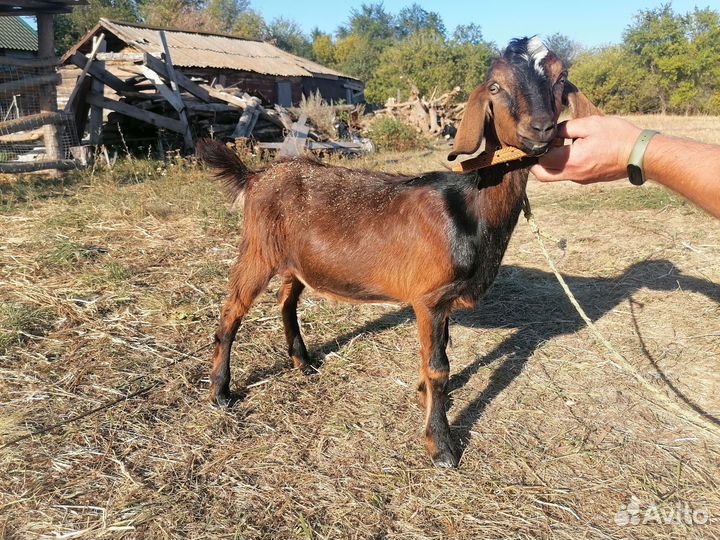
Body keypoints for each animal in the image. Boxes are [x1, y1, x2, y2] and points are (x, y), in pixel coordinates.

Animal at [200, 38, 600, 468]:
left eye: (561, 78)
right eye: (495, 86)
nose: (540, 128)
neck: (470, 207)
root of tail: (255, 176)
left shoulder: (439, 300)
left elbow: (437, 354)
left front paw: (425, 397)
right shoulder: (430, 298)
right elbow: (439, 365)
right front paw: (441, 444)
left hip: (294, 261)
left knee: (285, 301)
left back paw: (302, 363)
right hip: (258, 249)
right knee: (232, 311)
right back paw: (221, 392)